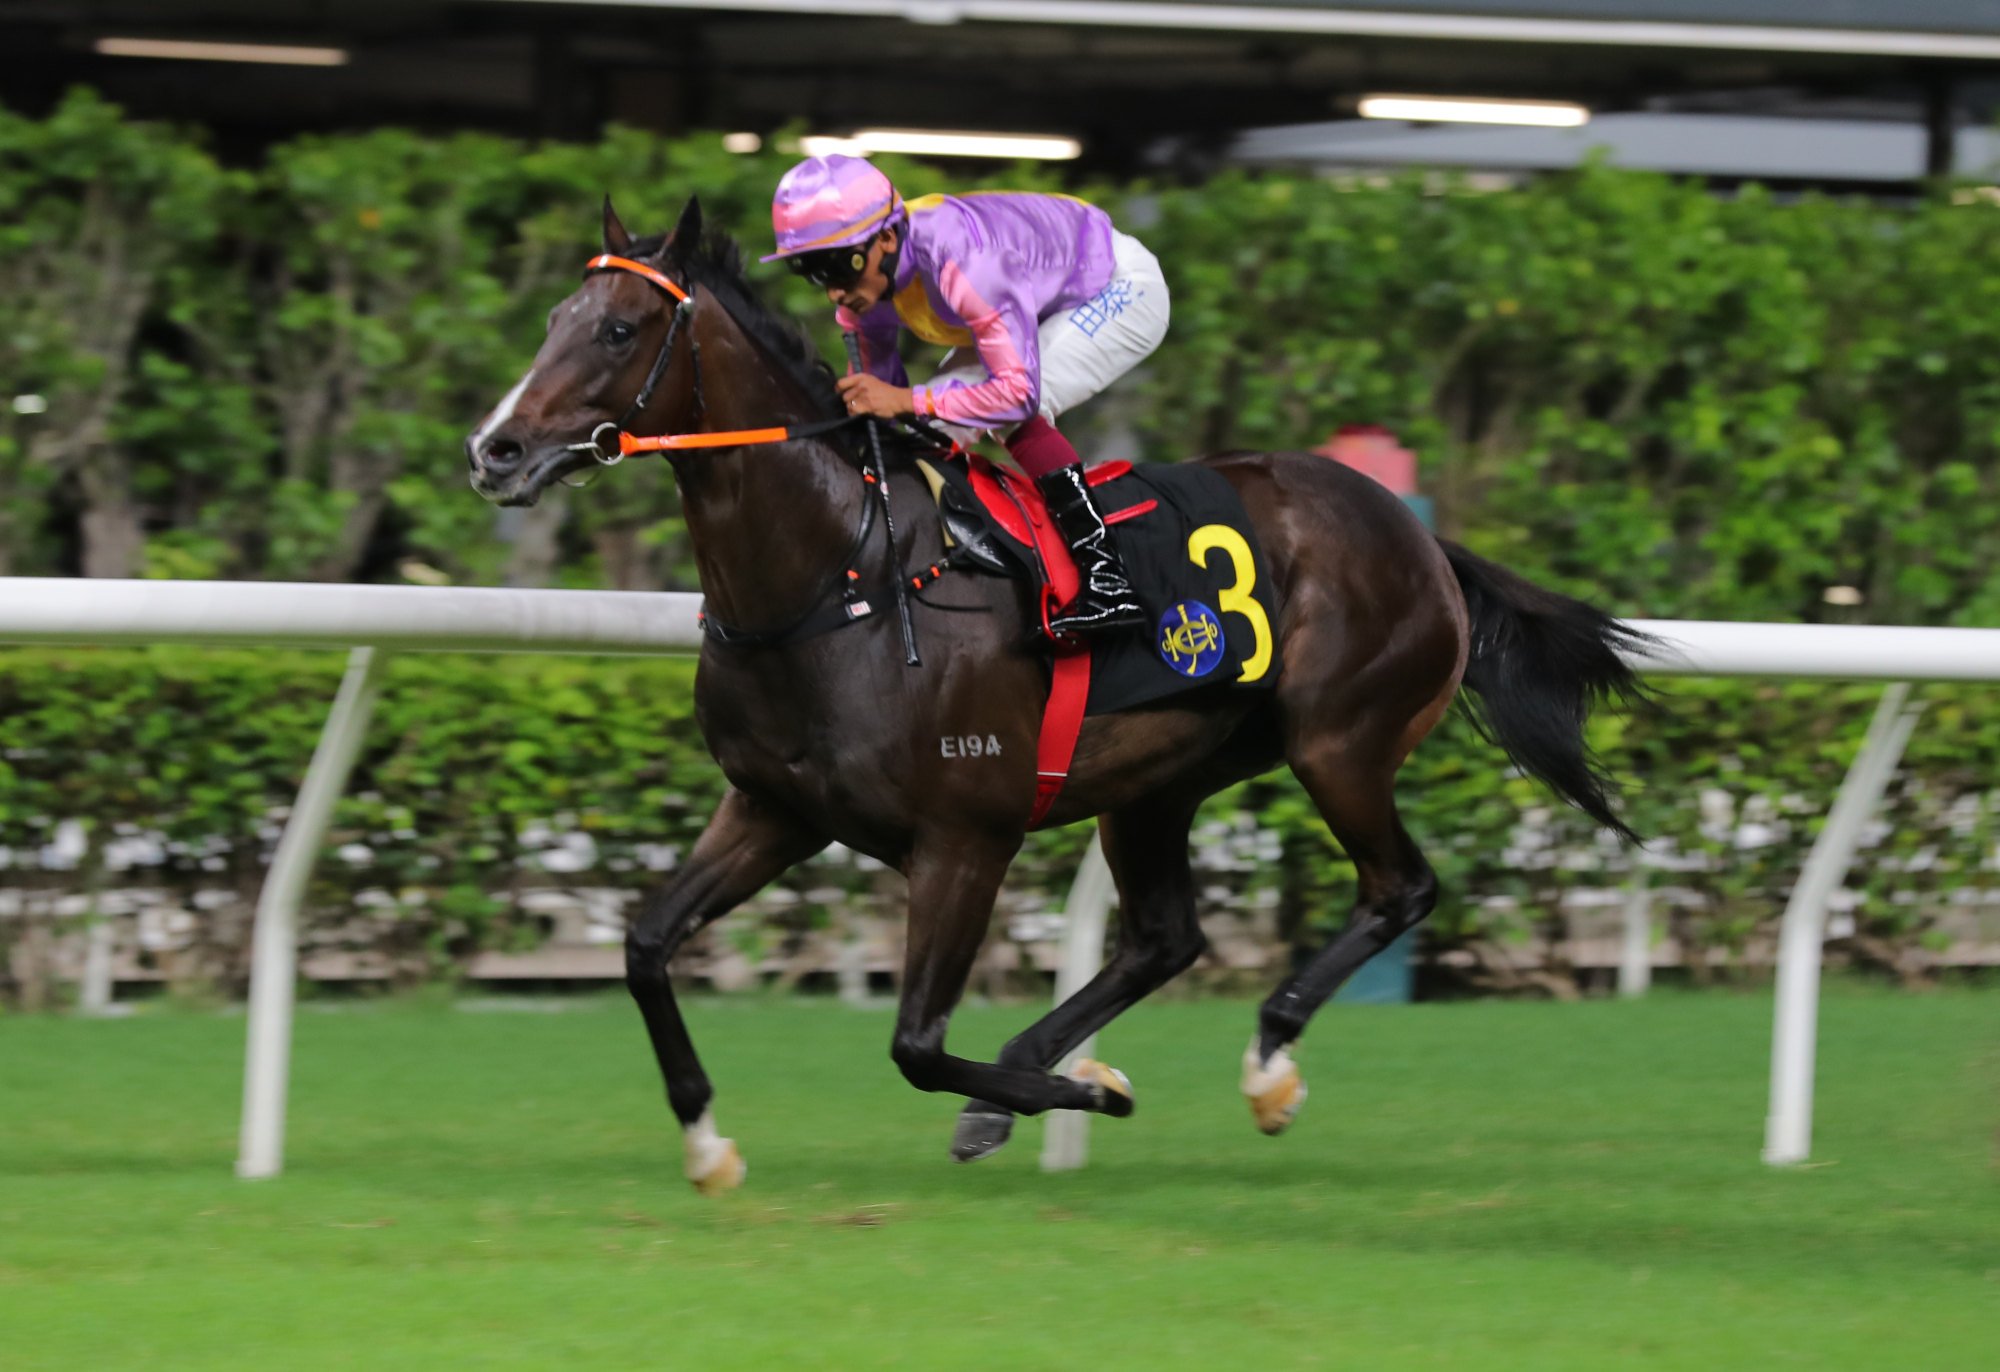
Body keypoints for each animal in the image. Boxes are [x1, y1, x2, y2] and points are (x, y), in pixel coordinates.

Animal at [460, 199, 1648, 1200]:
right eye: (557, 319)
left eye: (619, 332)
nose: (493, 451)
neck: (841, 575)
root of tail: (1418, 536)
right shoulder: (773, 808)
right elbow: (645, 944)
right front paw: (709, 1144)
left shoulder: (964, 836)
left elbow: (916, 1045)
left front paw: (1088, 1091)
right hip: (1159, 781)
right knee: (1166, 937)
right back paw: (1043, 1073)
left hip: (1340, 743)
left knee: (1399, 888)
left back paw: (1264, 1068)